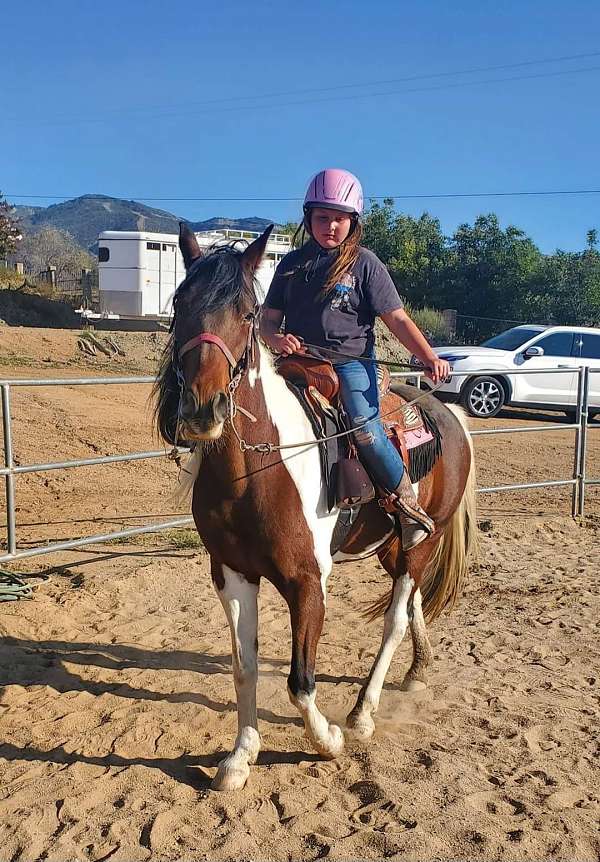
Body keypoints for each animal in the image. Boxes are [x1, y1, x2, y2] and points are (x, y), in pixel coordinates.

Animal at [155, 226, 478, 792]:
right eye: (180, 303)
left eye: (247, 311)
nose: (201, 410)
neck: (255, 470)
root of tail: (447, 412)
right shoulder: (232, 575)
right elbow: (245, 668)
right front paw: (240, 757)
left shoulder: (308, 581)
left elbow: (300, 681)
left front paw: (328, 741)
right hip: (392, 544)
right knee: (414, 602)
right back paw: (418, 670)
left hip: (422, 539)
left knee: (395, 618)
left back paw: (363, 713)